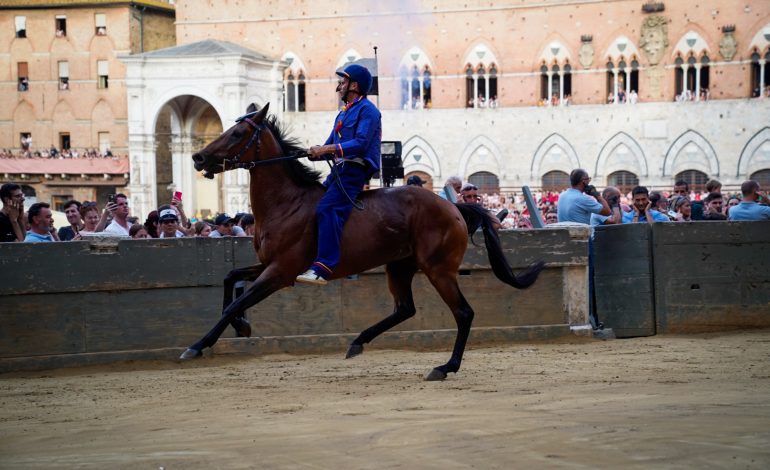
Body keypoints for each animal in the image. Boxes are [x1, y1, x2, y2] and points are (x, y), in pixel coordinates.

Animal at [182, 103, 544, 382]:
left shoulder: (281, 272)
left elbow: (234, 302)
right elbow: (231, 279)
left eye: (237, 134)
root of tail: (453, 207)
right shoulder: (267, 265)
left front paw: (197, 345)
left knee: (464, 313)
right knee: (404, 309)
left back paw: (445, 367)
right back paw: (358, 341)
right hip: (399, 266)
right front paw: (241, 326)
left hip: (438, 269)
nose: (198, 157)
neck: (287, 203)